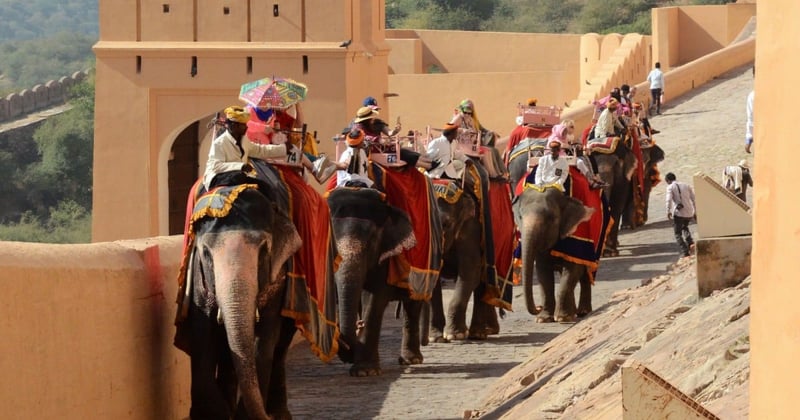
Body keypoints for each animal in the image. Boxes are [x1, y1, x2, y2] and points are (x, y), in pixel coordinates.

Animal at [326, 187, 424, 378]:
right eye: (330, 241)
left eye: (372, 240)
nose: (359, 325)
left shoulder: (385, 255)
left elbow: (373, 298)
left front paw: (365, 371)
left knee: (413, 305)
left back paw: (411, 360)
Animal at [512, 186, 592, 322]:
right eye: (520, 217)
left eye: (550, 218)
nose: (538, 307)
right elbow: (543, 272)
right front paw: (543, 319)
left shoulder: (576, 234)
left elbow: (573, 268)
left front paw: (562, 318)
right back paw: (573, 312)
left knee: (586, 274)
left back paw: (583, 312)